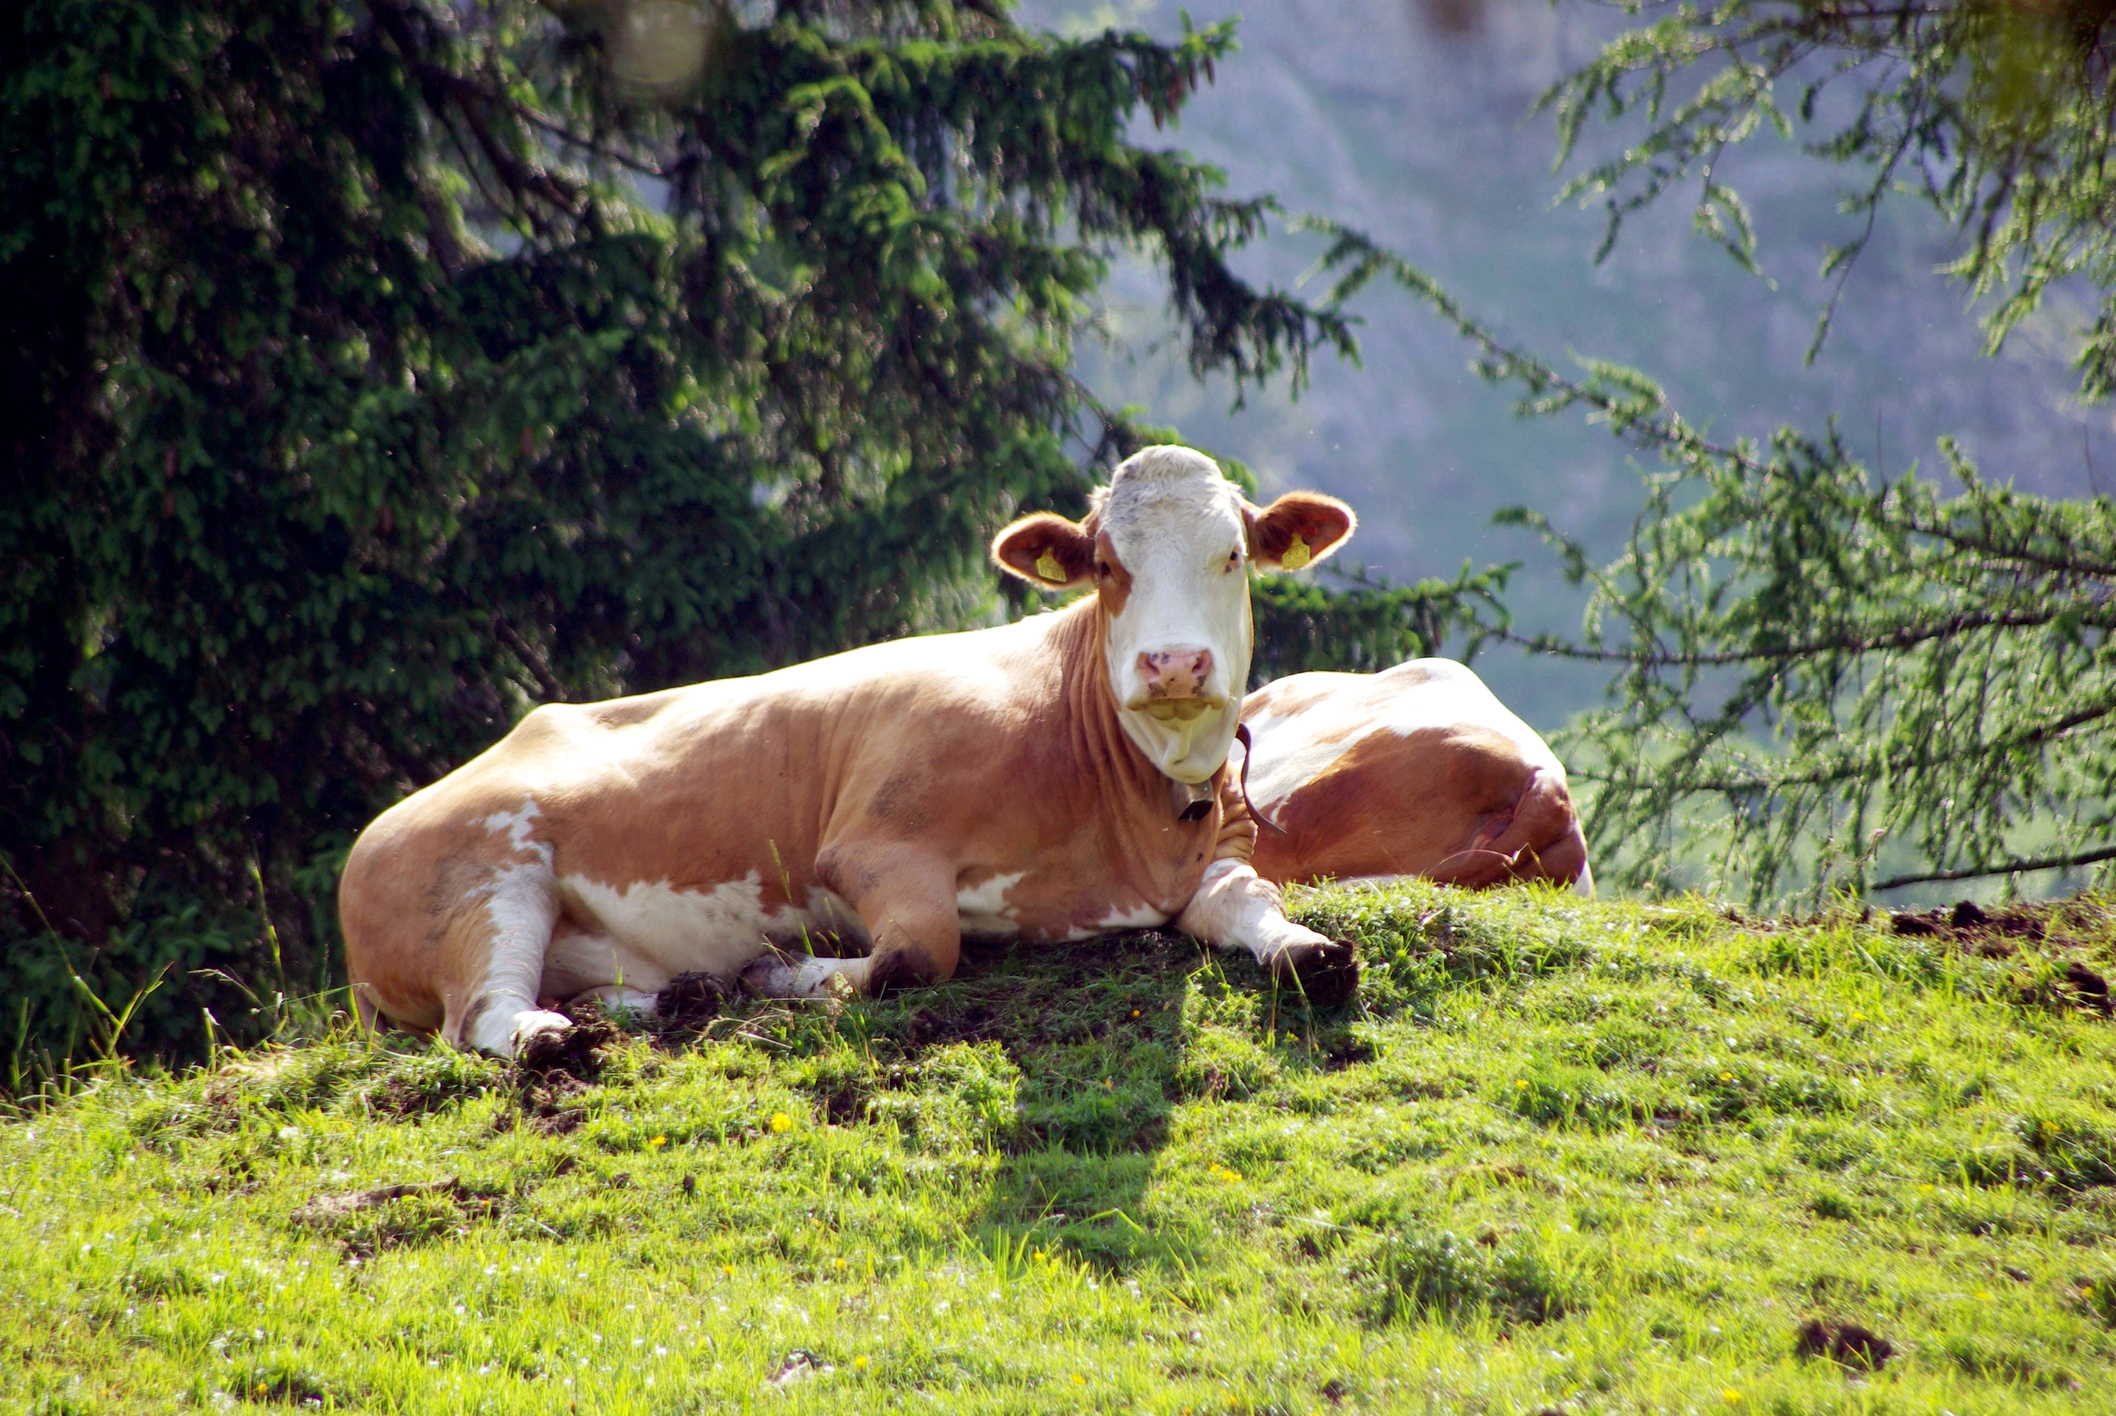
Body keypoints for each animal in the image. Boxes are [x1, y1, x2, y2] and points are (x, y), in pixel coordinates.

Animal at [338, 446, 1365, 1057]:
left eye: (1232, 555)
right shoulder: (873, 841)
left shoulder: (1218, 855)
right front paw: (786, 976)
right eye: (1108, 566)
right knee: (480, 1012)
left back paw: (678, 999)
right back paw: (556, 1035)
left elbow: (1259, 909)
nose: (1173, 662)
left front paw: (1307, 949)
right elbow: (918, 952)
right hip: (484, 877)